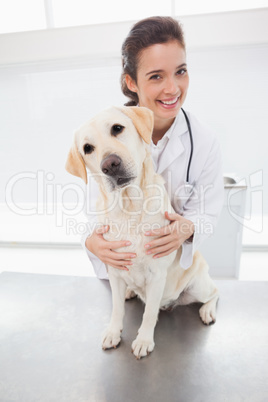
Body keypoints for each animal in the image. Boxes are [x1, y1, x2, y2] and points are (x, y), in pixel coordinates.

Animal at [66, 106, 219, 358]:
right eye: (87, 148)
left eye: (117, 128)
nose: (110, 164)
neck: (129, 208)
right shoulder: (115, 270)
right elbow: (117, 309)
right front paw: (113, 332)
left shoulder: (156, 276)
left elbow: (148, 314)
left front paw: (144, 340)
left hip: (198, 285)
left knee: (215, 292)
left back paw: (207, 311)